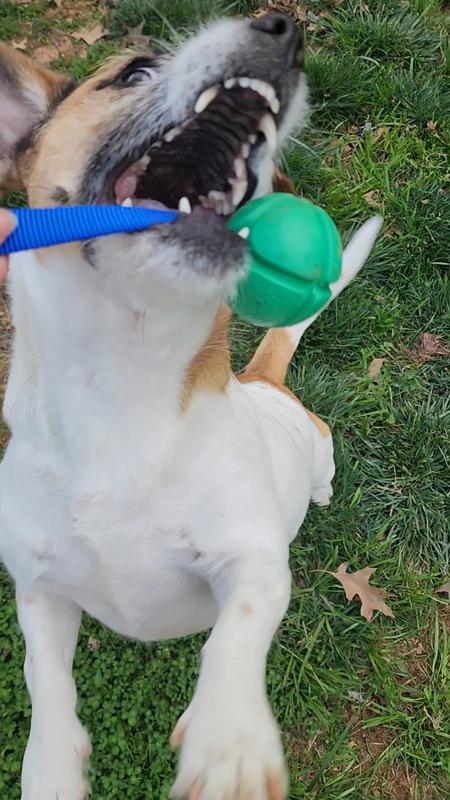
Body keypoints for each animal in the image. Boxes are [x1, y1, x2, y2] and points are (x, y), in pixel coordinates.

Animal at [0, 12, 382, 800]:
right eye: (134, 72)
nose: (281, 29)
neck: (121, 387)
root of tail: (266, 380)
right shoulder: (38, 590)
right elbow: (44, 682)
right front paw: (49, 768)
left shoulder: (253, 561)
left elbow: (237, 633)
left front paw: (229, 741)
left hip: (316, 449)